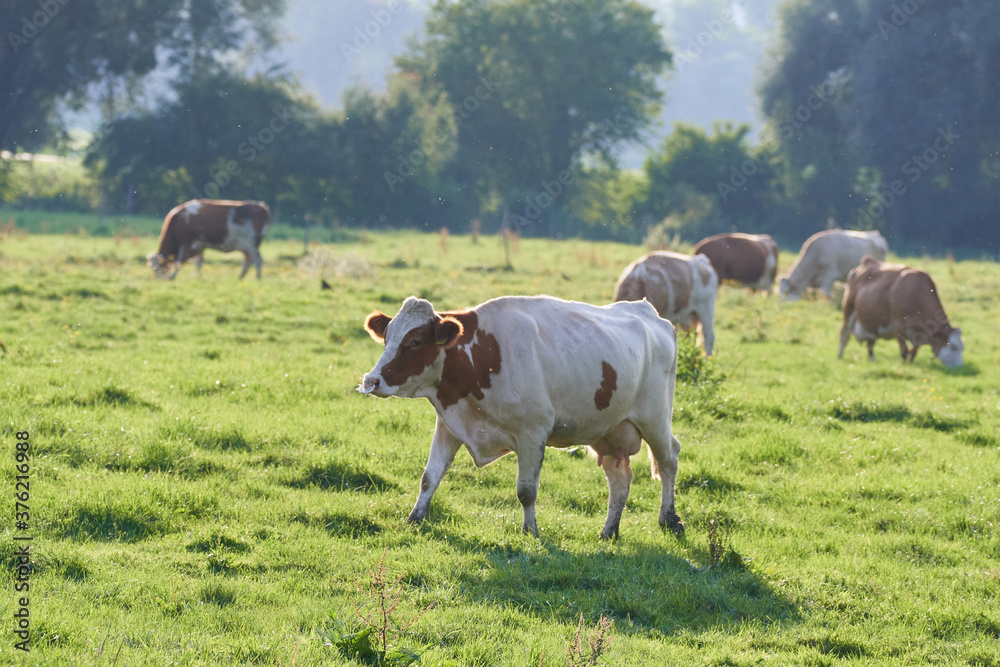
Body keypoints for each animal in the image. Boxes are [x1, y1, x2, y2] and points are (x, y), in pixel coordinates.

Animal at [362, 294, 688, 540]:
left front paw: (530, 531)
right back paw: (609, 531)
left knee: (669, 459)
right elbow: (430, 477)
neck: (482, 357)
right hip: (609, 429)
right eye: (387, 338)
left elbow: (526, 491)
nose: (371, 380)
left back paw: (669, 518)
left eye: (415, 342)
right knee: (620, 478)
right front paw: (415, 518)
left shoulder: (532, 434)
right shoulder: (450, 425)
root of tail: (648, 312)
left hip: (655, 419)